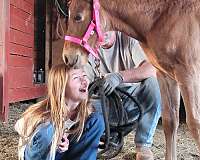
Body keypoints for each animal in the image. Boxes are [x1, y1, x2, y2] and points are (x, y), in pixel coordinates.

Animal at [62, 0, 200, 160]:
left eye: (78, 17)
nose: (67, 57)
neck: (162, 18)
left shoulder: (189, 74)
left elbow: (195, 123)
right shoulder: (166, 75)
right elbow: (170, 122)